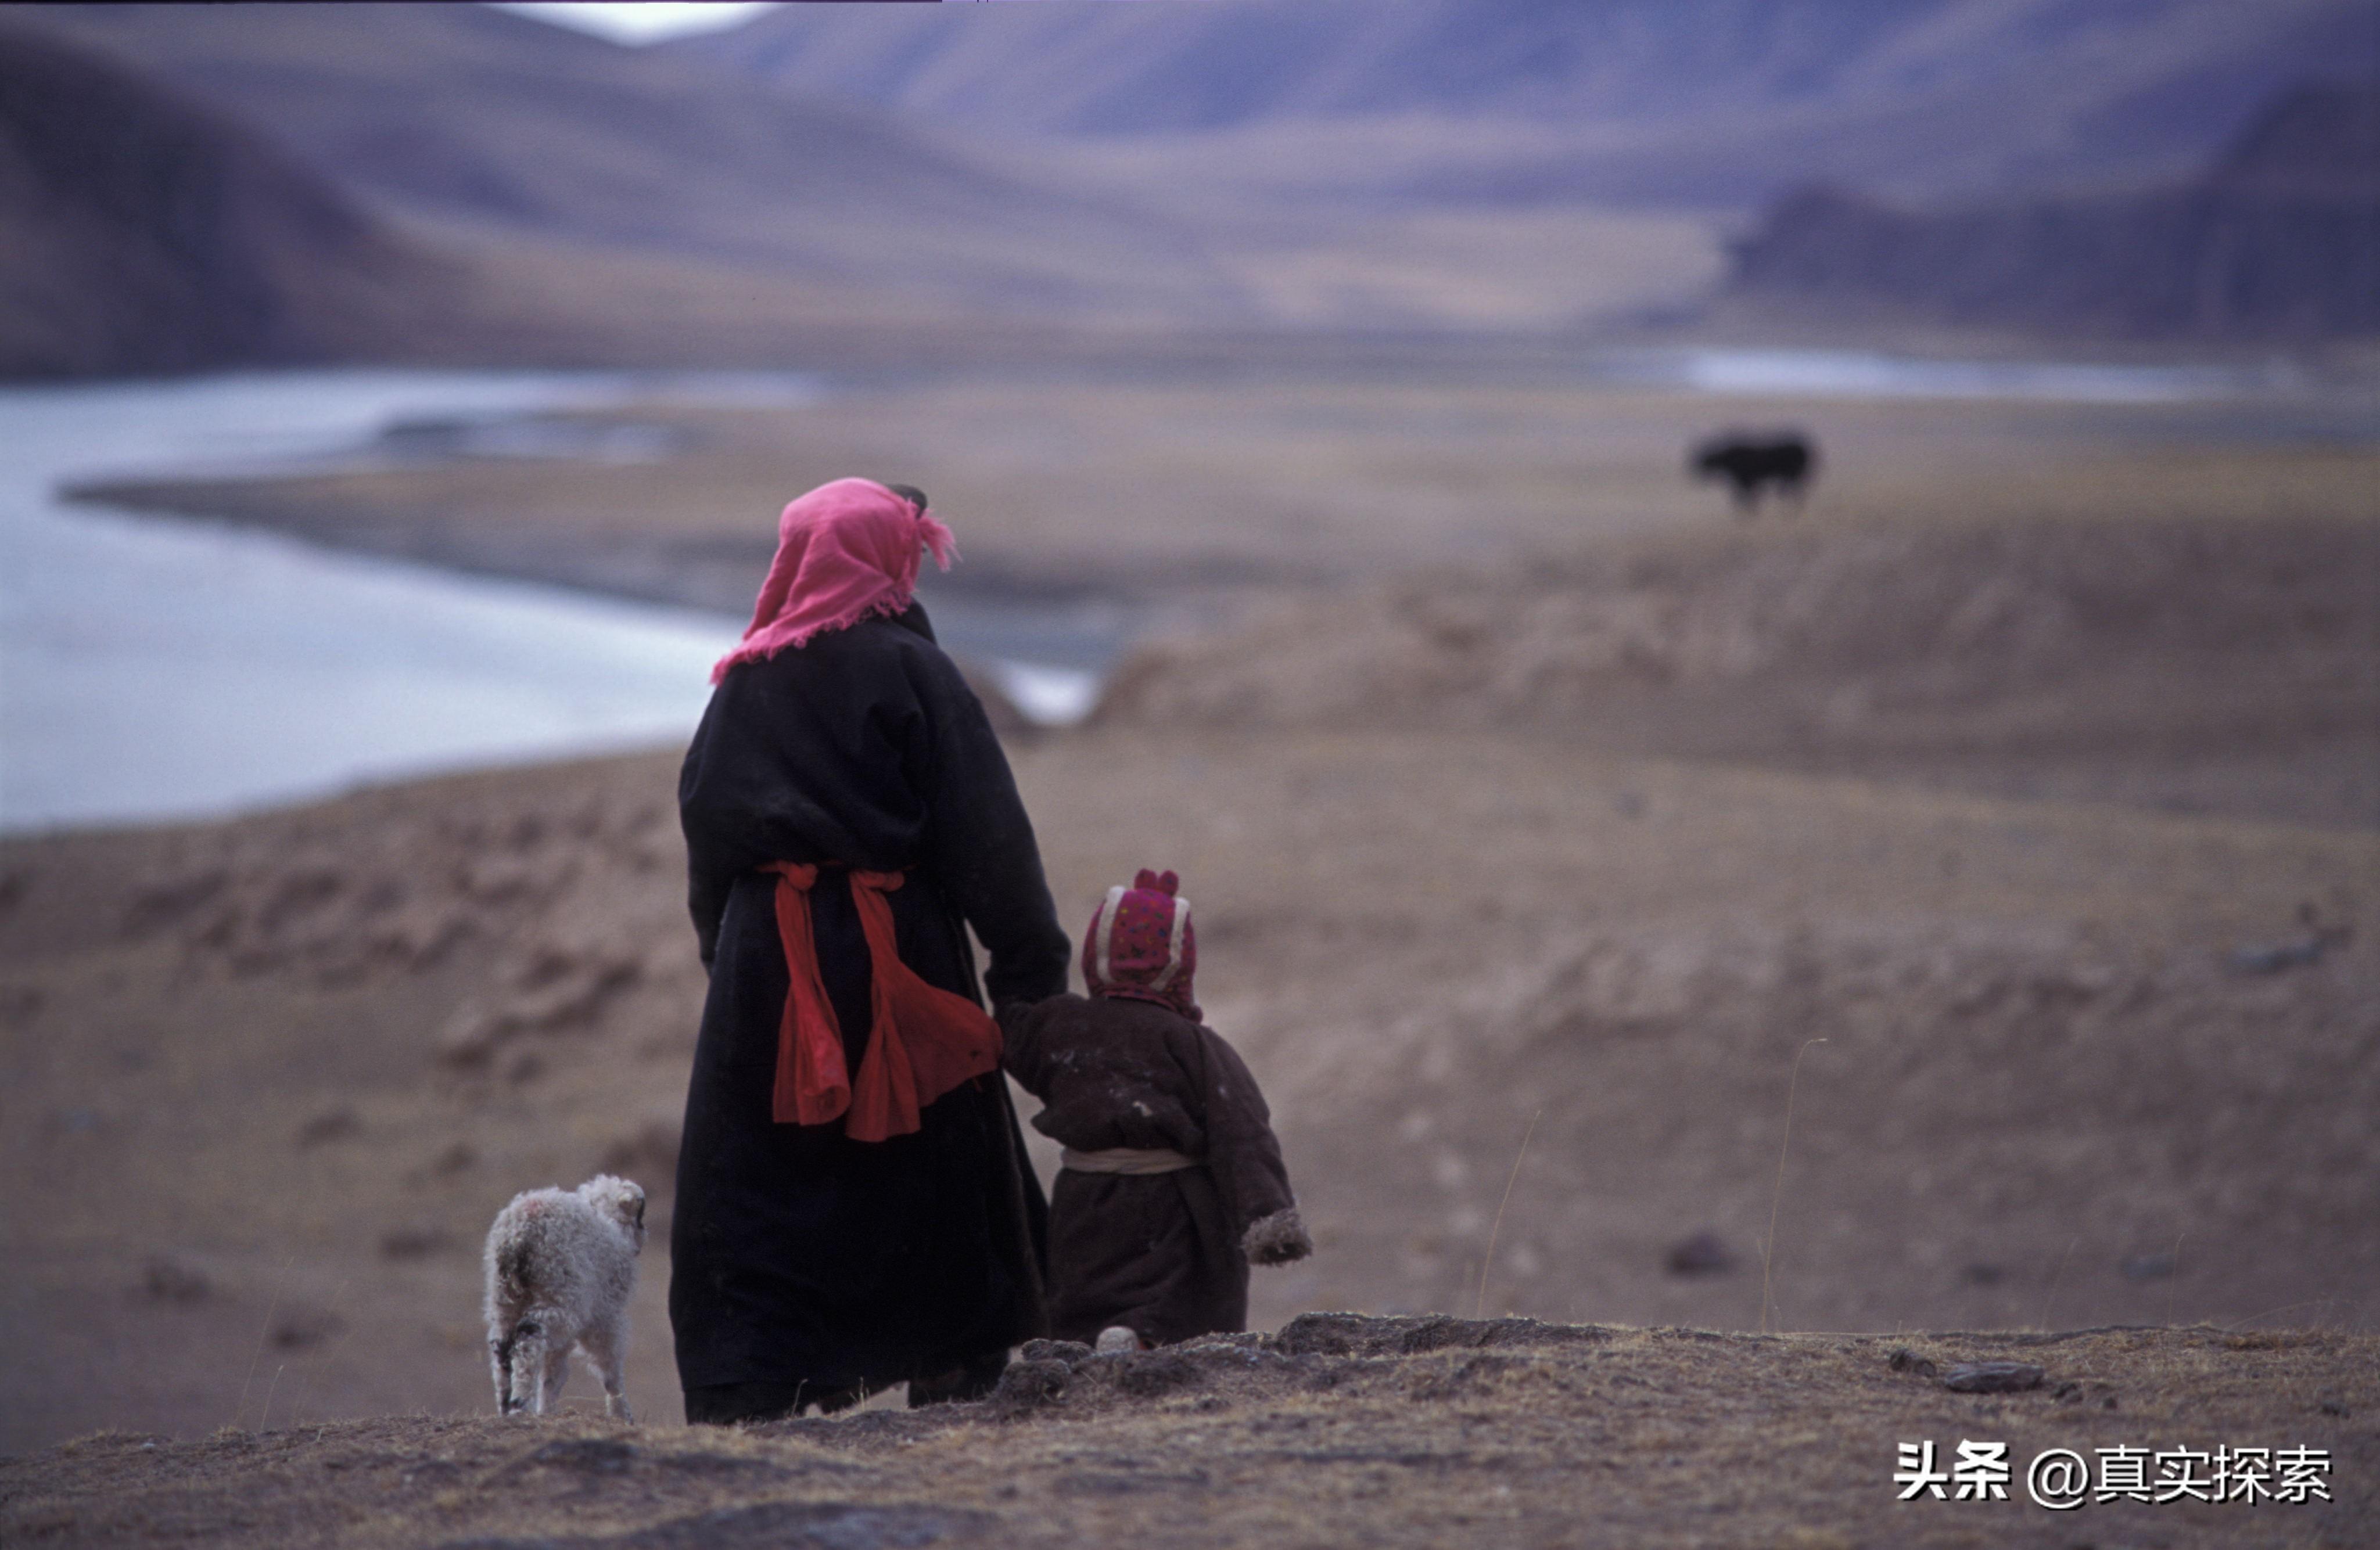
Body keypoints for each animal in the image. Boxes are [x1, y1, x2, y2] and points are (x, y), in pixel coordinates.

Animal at [480, 1176, 642, 1419]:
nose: (640, 1244)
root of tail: (520, 1233)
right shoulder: (605, 1316)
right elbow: (609, 1365)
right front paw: (621, 1413)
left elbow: (554, 1373)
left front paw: (547, 1411)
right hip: (559, 1295)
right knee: (529, 1338)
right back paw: (520, 1404)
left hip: (504, 1300)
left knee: (502, 1351)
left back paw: (506, 1407)